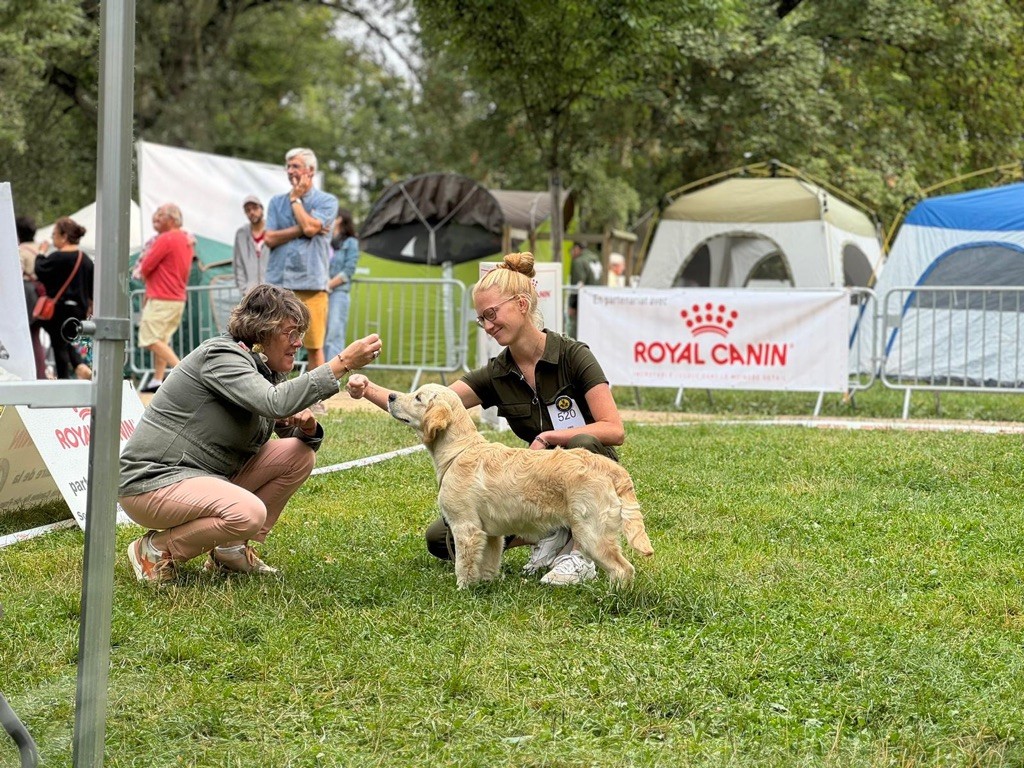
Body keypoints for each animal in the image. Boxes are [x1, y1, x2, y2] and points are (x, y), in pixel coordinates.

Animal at [387, 385, 651, 589]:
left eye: (418, 397)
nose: (390, 396)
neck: (458, 451)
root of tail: (611, 468)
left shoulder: (465, 528)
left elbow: (464, 566)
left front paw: (463, 590)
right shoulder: (491, 534)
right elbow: (488, 564)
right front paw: (486, 586)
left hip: (591, 531)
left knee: (623, 568)